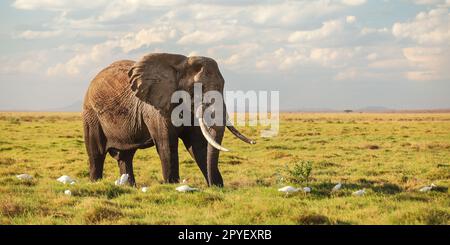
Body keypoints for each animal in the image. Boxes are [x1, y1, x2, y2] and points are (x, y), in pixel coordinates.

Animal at [82, 52, 255, 187]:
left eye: (223, 86)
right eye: (198, 88)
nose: (213, 185)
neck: (182, 64)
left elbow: (198, 144)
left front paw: (217, 186)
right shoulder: (155, 107)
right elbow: (166, 143)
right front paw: (172, 186)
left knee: (125, 157)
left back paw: (129, 187)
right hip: (91, 115)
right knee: (96, 154)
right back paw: (95, 183)